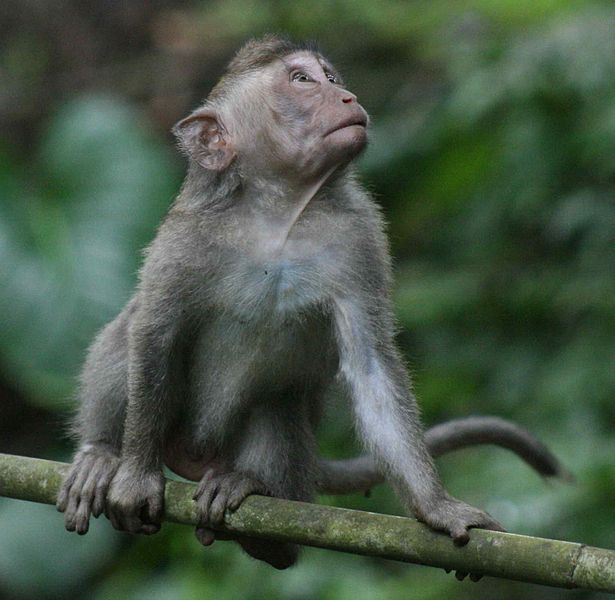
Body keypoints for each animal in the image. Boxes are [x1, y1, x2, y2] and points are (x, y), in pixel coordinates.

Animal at [57, 35, 568, 568]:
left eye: (332, 78)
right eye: (302, 80)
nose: (348, 97)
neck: (279, 214)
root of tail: (195, 456)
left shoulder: (359, 237)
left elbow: (370, 364)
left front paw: (436, 507)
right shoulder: (186, 238)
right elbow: (156, 330)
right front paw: (136, 476)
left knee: (276, 405)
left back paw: (258, 509)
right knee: (128, 333)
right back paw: (102, 454)